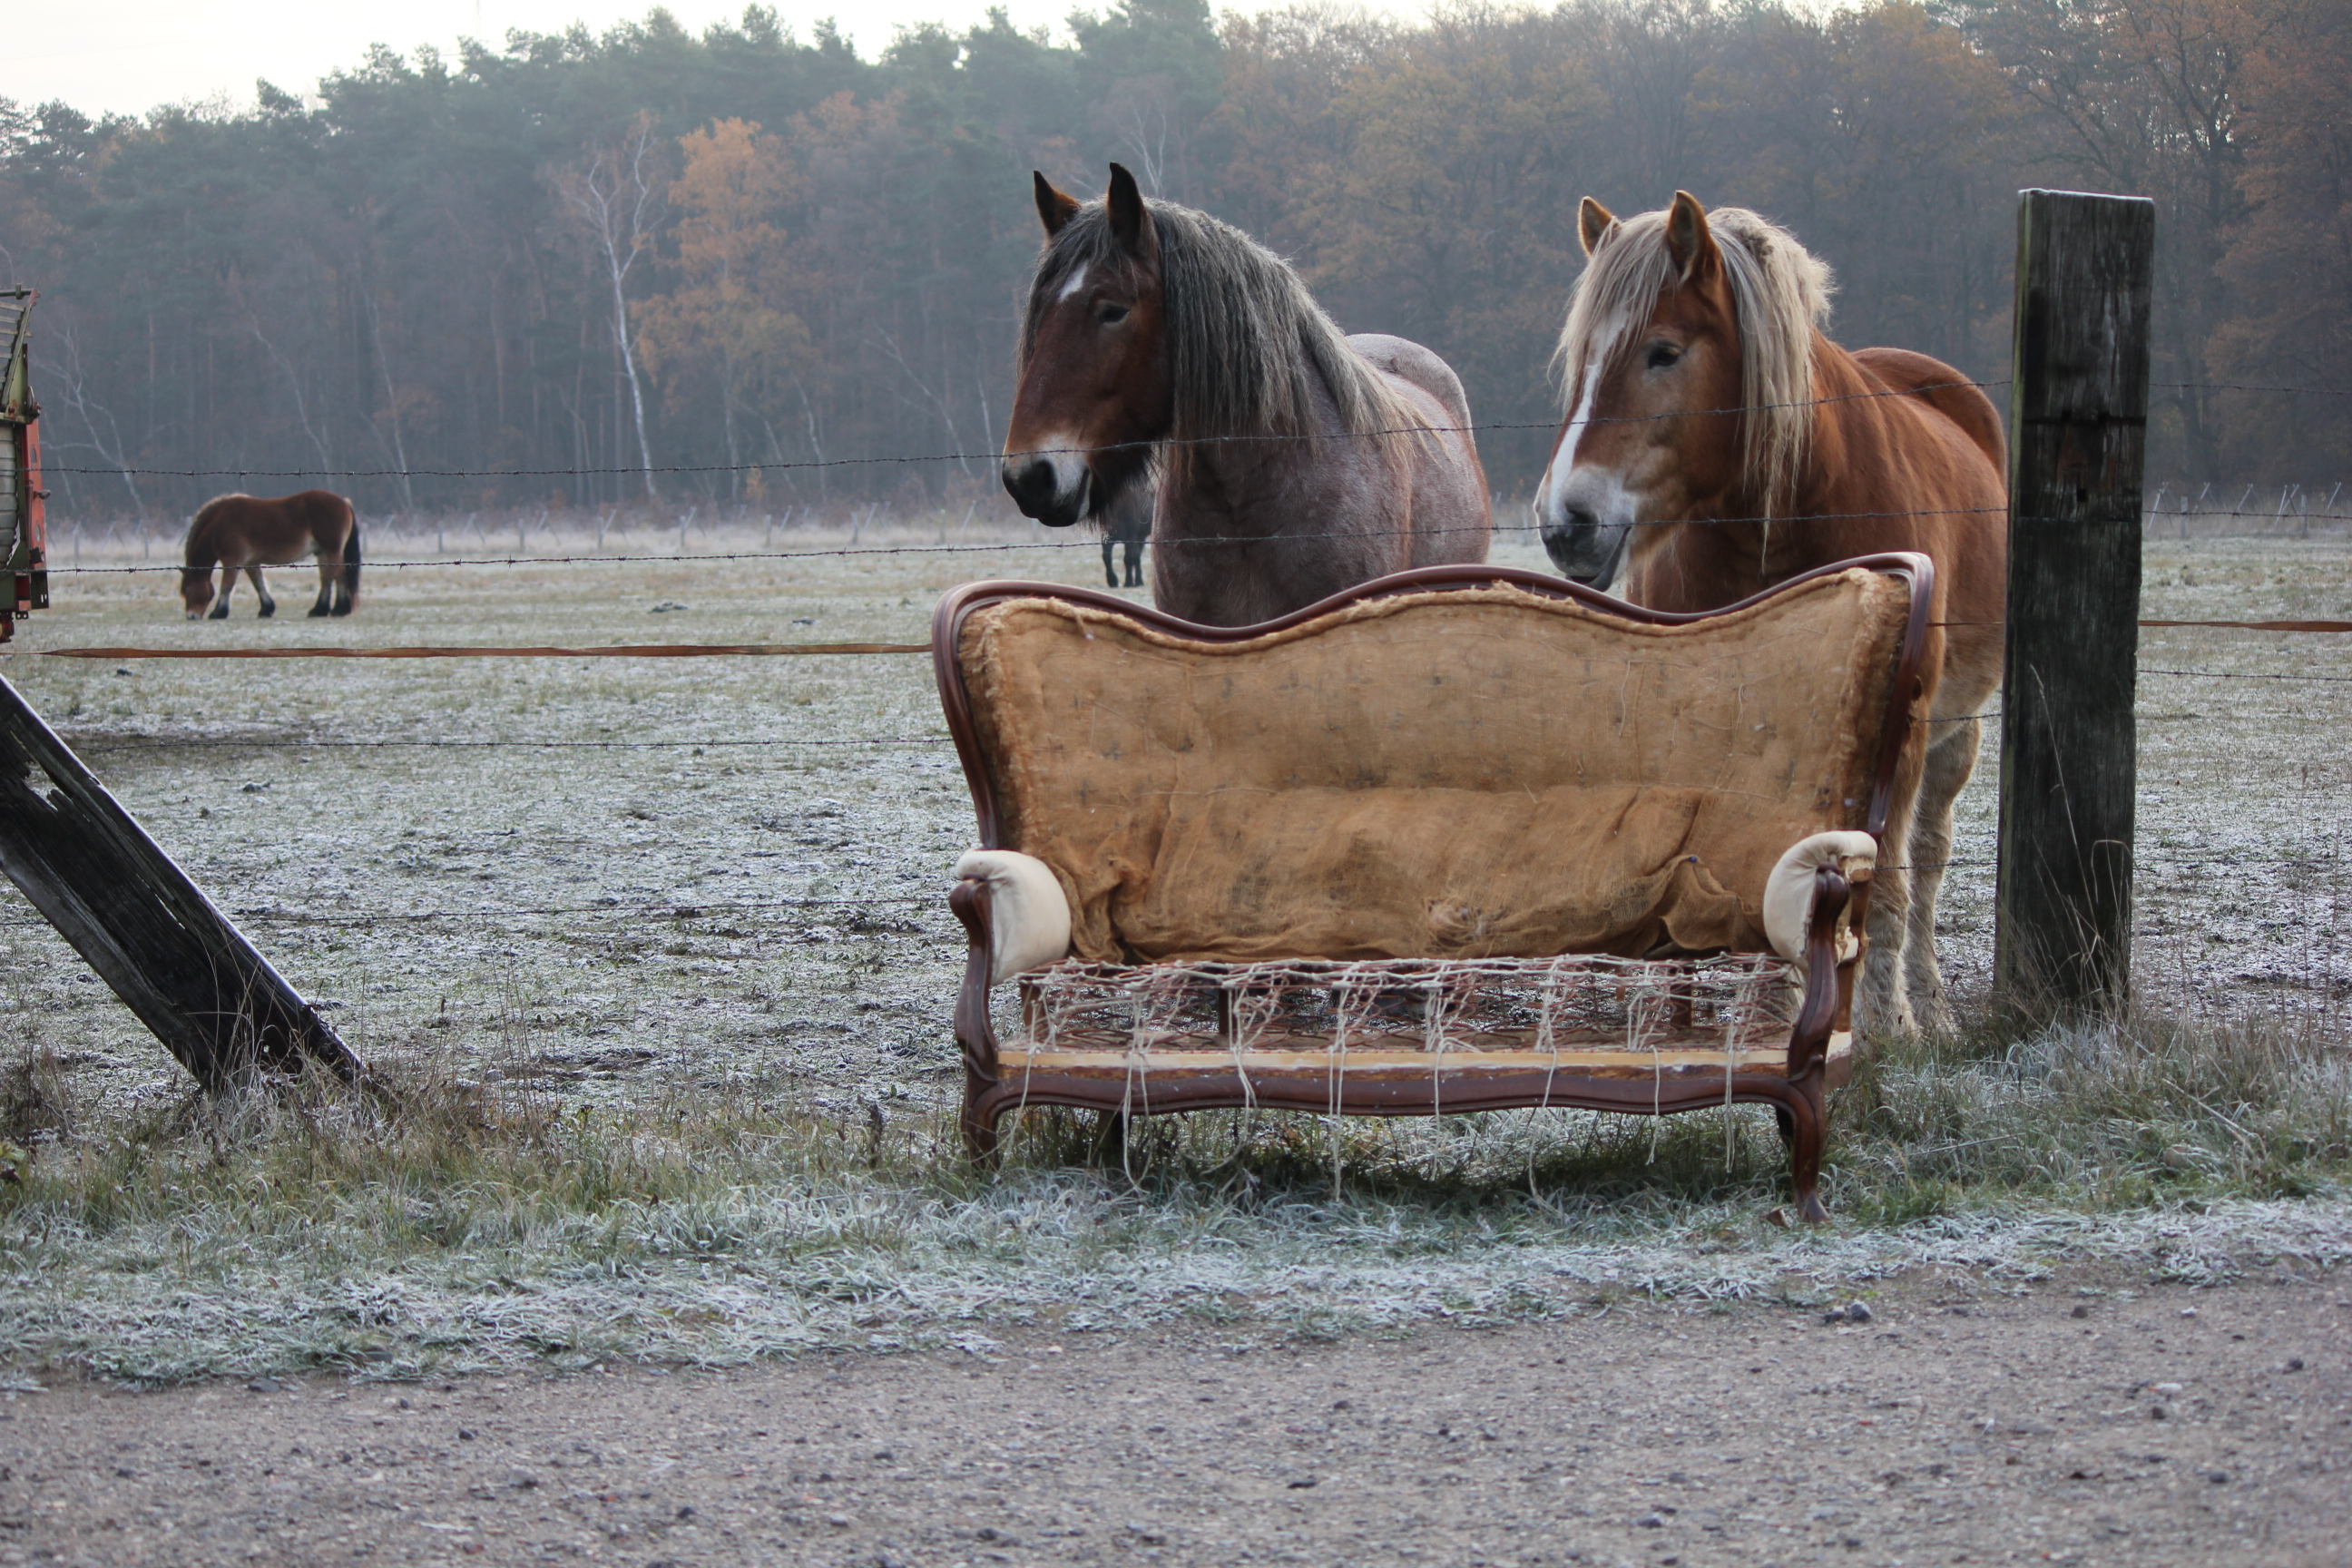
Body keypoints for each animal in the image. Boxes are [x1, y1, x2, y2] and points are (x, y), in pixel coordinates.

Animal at [178, 491, 357, 620]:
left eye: (187, 589)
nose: (191, 616)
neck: (220, 523)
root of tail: (344, 502)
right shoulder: (250, 562)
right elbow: (258, 584)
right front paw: (266, 609)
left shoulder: (232, 560)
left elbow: (227, 586)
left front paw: (218, 613)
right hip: (322, 552)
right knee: (326, 578)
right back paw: (319, 610)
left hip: (332, 550)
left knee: (339, 575)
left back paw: (340, 609)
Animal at [1101, 475, 1147, 592]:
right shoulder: (1106, 537)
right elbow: (1106, 557)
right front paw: (1112, 581)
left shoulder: (1131, 536)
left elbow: (1129, 558)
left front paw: (1128, 582)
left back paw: (1138, 581)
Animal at [1533, 196, 2013, 1044]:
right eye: (1581, 360)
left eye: (1663, 352)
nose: (1567, 524)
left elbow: (1880, 881)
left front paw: (1879, 1027)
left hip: (1955, 734)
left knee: (1925, 859)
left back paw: (1927, 1008)